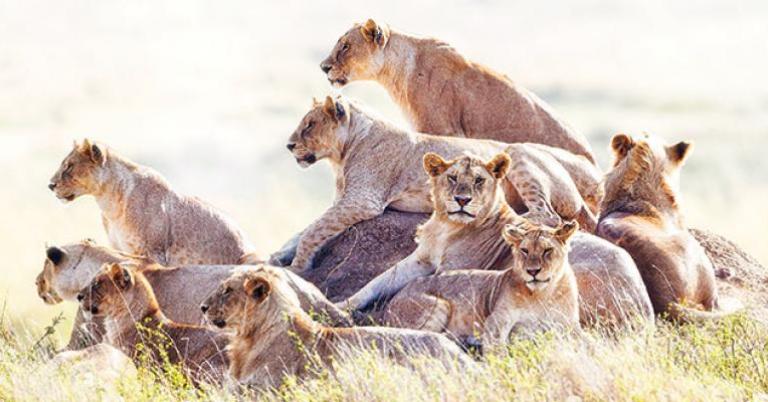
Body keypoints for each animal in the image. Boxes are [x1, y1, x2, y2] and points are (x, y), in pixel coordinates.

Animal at [279, 95, 602, 271]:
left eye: (309, 125)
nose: (289, 145)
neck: (341, 156)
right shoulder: (343, 201)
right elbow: (306, 229)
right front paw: (280, 255)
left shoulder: (362, 200)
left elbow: (313, 231)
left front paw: (298, 266)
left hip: (518, 153)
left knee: (547, 213)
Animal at [342, 152, 654, 329]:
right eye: (452, 178)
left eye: (479, 180)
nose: (462, 200)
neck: (447, 225)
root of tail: (643, 308)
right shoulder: (420, 260)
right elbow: (378, 282)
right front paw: (344, 305)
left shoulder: (451, 271)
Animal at [383, 220, 580, 347]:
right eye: (524, 250)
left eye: (548, 250)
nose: (532, 271)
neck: (543, 294)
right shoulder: (497, 321)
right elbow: (497, 350)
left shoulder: (570, 326)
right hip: (439, 304)